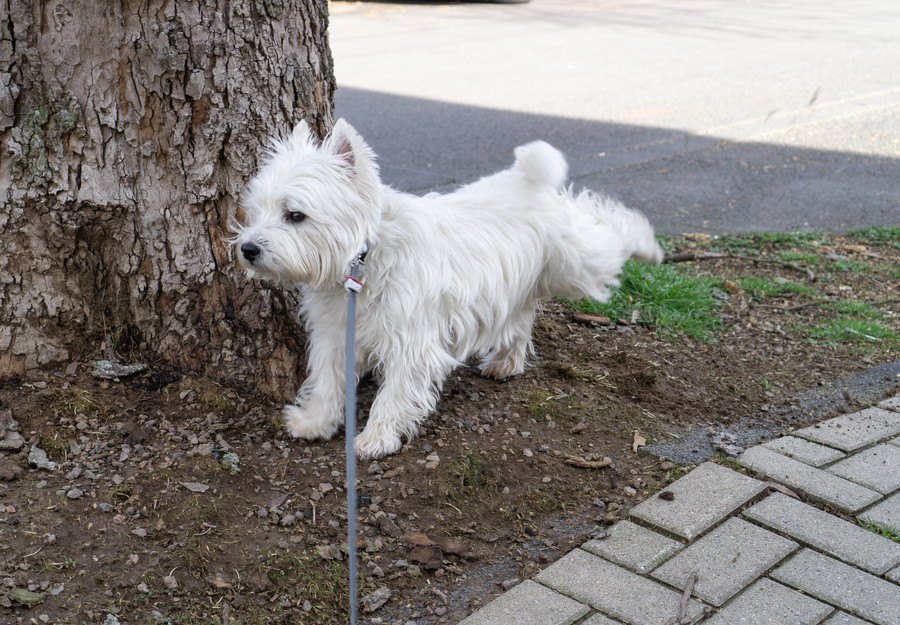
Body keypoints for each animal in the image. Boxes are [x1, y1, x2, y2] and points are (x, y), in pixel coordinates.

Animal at [236, 119, 664, 458]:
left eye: (296, 215)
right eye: (256, 210)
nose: (247, 249)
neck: (365, 259)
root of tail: (526, 181)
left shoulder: (411, 341)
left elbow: (394, 392)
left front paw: (376, 438)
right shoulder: (335, 332)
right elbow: (327, 379)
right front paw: (315, 422)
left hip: (576, 264)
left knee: (607, 227)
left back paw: (650, 245)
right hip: (515, 289)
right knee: (522, 319)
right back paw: (506, 363)